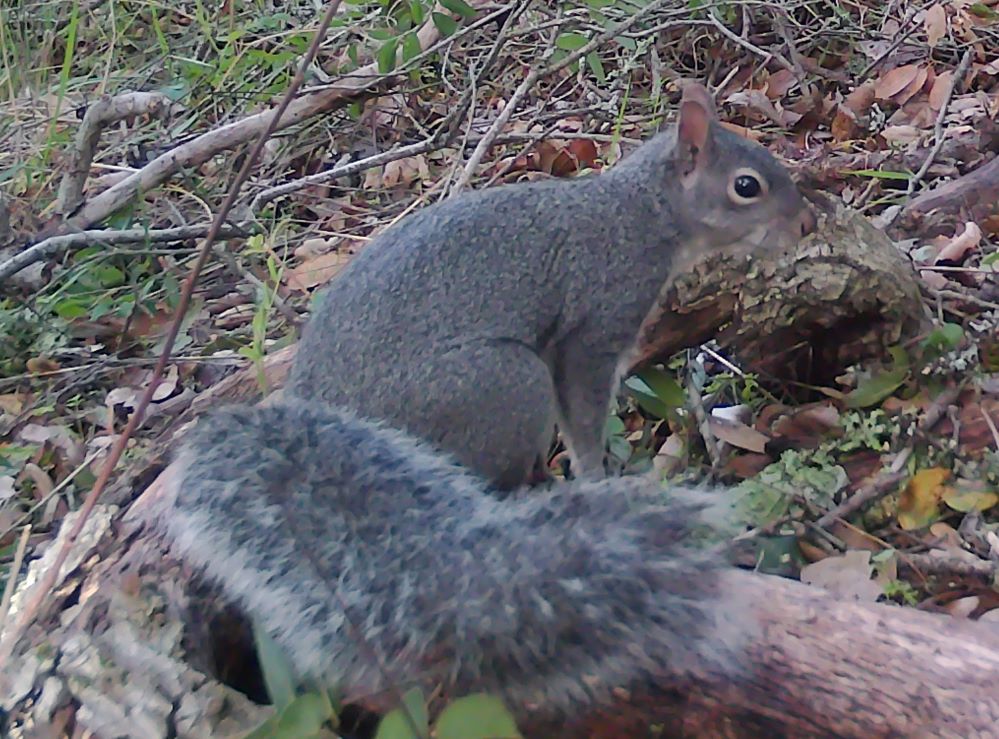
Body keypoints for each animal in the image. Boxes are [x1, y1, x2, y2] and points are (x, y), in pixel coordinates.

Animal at [150, 82, 813, 724]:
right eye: (746, 186)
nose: (805, 221)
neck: (638, 213)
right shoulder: (594, 328)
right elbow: (583, 412)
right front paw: (601, 474)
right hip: (503, 384)